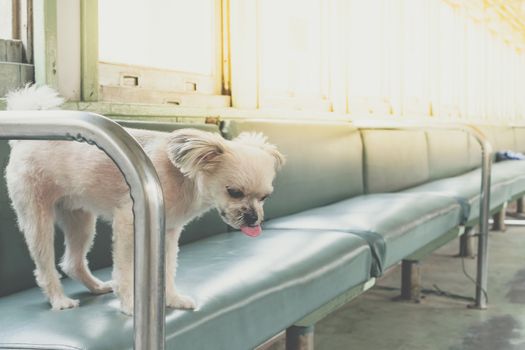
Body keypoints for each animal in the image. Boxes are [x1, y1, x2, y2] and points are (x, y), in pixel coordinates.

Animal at [4, 85, 284, 314]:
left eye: (265, 197)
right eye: (234, 192)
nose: (254, 219)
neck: (183, 178)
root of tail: (23, 141)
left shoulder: (167, 232)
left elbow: (168, 269)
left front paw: (171, 299)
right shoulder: (129, 224)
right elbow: (126, 270)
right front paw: (130, 304)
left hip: (80, 220)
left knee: (72, 262)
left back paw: (96, 287)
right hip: (37, 219)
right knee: (45, 266)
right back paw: (59, 300)